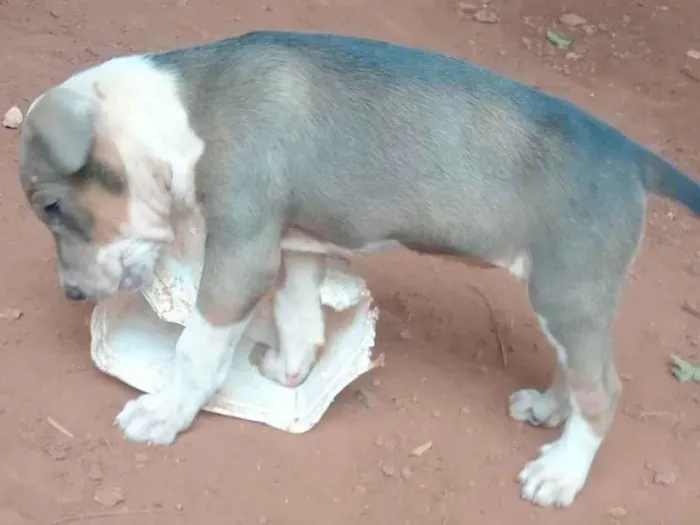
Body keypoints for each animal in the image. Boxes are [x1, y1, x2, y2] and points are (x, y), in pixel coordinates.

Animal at [17, 30, 700, 506]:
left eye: (52, 207)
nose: (71, 293)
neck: (177, 118)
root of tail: (631, 155)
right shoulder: (295, 245)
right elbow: (297, 315)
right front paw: (291, 372)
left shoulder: (240, 253)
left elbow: (196, 349)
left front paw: (164, 412)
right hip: (565, 299)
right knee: (579, 371)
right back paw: (549, 411)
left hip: (568, 289)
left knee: (604, 388)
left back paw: (560, 473)